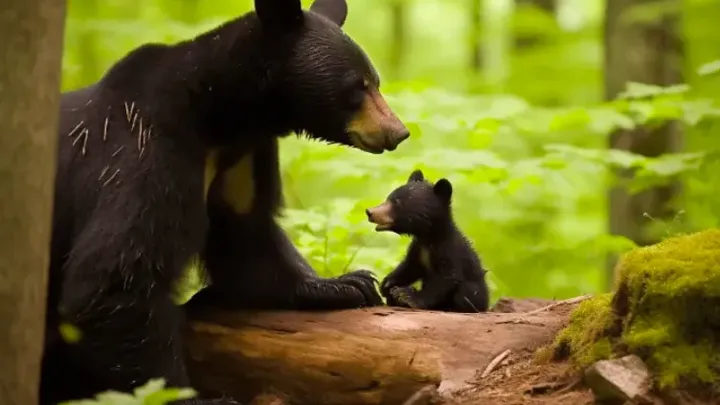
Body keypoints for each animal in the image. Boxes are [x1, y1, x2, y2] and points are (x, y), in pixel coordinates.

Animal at [40, 0, 410, 404]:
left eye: (375, 81)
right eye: (357, 86)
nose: (398, 132)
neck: (220, 119)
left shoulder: (240, 159)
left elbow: (246, 238)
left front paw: (345, 284)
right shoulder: (143, 150)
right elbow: (114, 276)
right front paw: (193, 396)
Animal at [365, 170, 490, 313]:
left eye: (397, 202)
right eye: (388, 198)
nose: (370, 212)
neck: (428, 238)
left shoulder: (450, 250)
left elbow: (447, 278)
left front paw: (408, 296)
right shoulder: (417, 248)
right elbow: (410, 266)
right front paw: (387, 284)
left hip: (477, 293)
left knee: (465, 294)